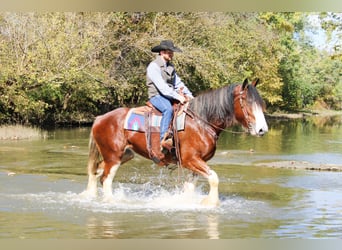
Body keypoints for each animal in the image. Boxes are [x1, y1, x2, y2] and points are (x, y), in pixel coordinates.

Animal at [82, 78, 268, 207]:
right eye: (247, 103)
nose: (262, 130)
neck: (201, 121)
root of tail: (100, 118)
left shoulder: (197, 163)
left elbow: (190, 186)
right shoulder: (190, 160)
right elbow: (214, 178)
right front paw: (211, 203)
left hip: (123, 155)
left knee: (96, 171)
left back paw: (90, 195)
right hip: (113, 157)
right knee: (106, 179)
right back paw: (111, 201)